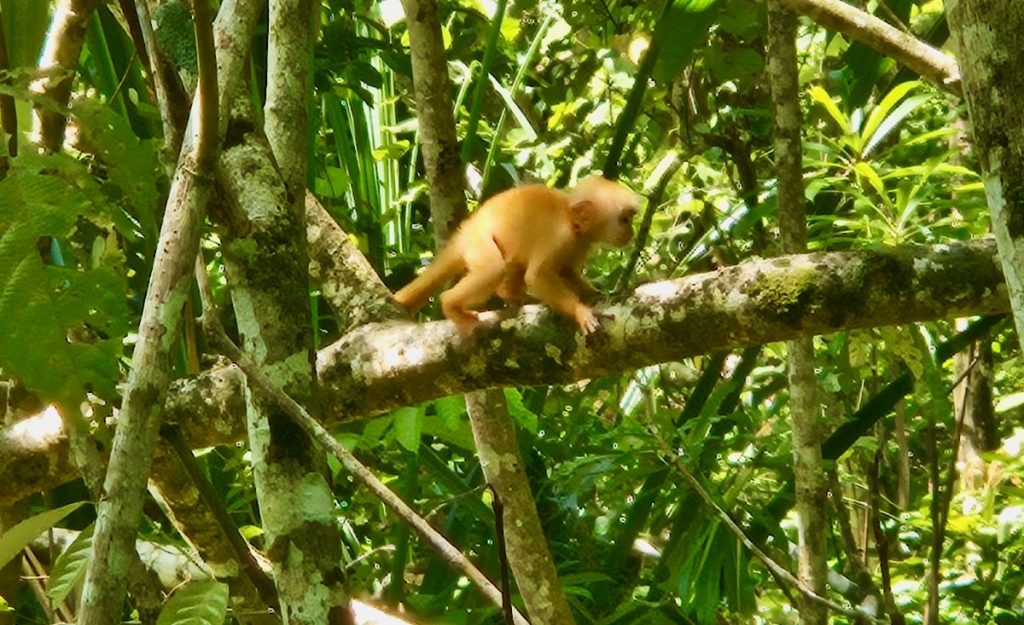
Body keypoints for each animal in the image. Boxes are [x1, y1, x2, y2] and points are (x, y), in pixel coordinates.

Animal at [394, 175, 638, 336]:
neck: (572, 221)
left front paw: (595, 293)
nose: (632, 232)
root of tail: (466, 231)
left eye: (630, 218)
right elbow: (538, 276)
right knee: (494, 268)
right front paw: (581, 311)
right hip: (478, 242)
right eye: (624, 220)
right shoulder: (562, 236)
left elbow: (567, 271)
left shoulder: (580, 243)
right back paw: (450, 304)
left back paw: (510, 295)